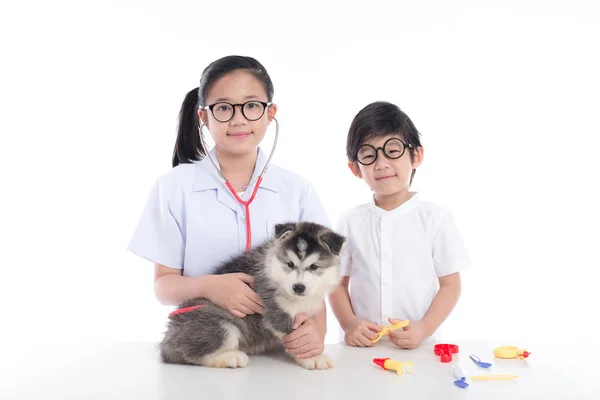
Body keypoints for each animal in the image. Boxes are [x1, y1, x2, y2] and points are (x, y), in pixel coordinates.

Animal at [159, 222, 344, 368]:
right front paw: (314, 357)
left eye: (314, 266)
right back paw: (230, 357)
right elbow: (289, 332)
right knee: (195, 353)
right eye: (290, 264)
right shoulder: (272, 306)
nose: (298, 287)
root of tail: (168, 341)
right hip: (219, 323)